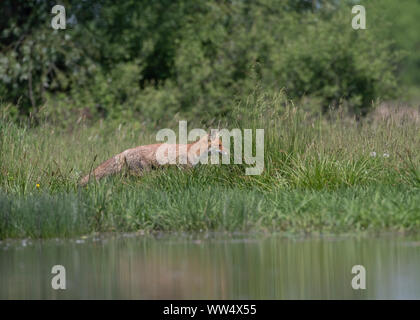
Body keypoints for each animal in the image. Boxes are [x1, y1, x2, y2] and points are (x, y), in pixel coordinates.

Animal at [79, 131, 226, 186]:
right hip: (142, 173)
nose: (227, 153)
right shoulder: (186, 169)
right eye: (219, 145)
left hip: (132, 174)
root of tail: (126, 151)